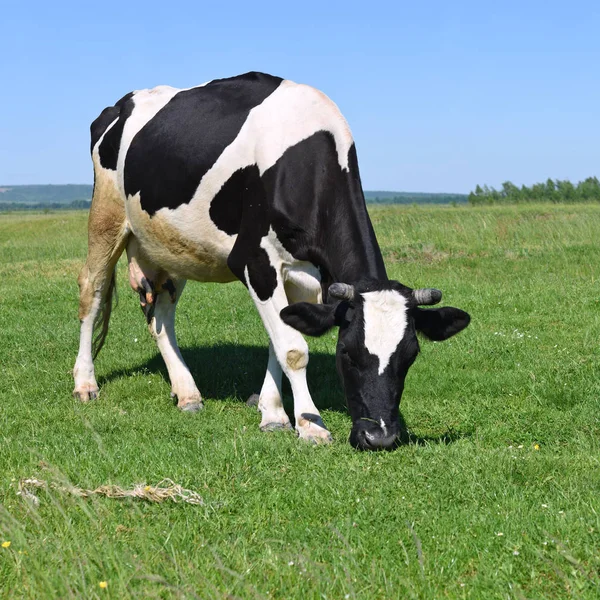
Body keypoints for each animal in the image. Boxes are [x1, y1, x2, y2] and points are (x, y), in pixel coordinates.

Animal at [72, 71, 472, 450]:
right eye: (346, 353)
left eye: (410, 355)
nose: (381, 437)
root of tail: (120, 104)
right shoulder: (256, 261)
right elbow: (293, 349)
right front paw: (311, 424)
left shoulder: (300, 275)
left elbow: (279, 340)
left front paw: (274, 412)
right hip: (106, 214)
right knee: (92, 290)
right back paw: (85, 383)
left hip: (172, 245)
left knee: (161, 314)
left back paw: (187, 392)